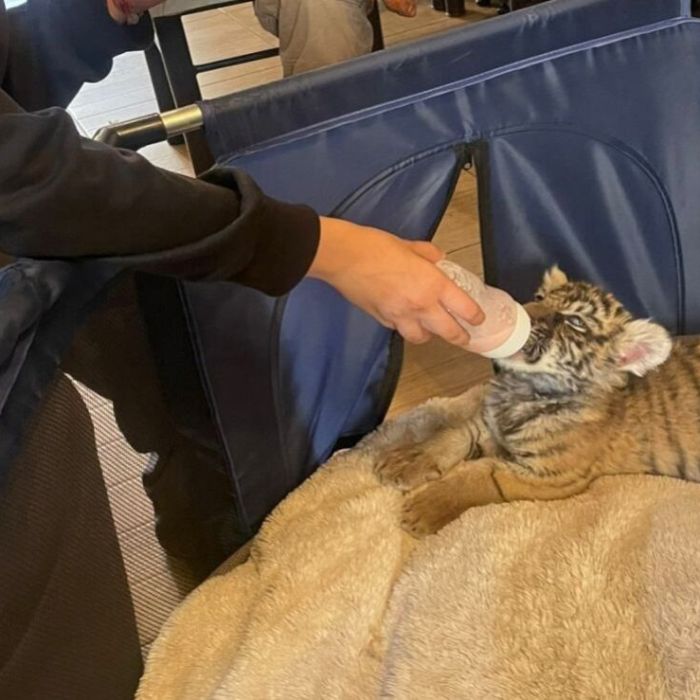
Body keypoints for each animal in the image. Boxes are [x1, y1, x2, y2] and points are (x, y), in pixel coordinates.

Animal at [376, 266, 700, 536]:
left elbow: (483, 475)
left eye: (575, 322)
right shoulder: (486, 424)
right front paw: (405, 461)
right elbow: (452, 434)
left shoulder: (550, 475)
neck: (523, 389)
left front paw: (423, 509)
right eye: (539, 297)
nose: (522, 314)